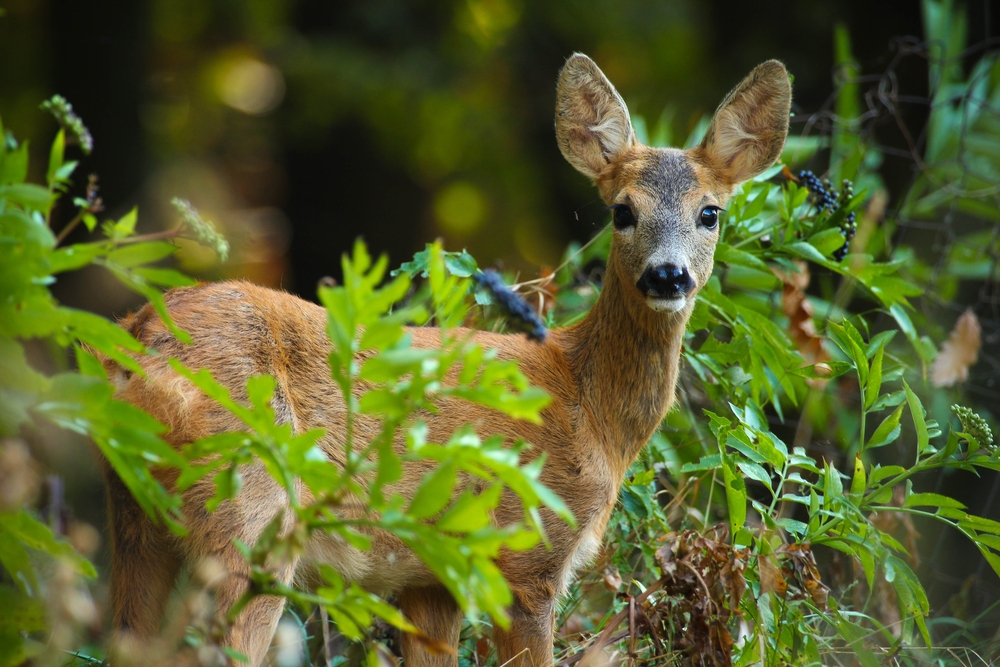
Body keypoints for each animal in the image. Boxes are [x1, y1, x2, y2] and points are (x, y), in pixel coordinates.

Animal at [101, 53, 788, 667]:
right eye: (622, 211)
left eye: (710, 212)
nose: (667, 275)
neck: (589, 409)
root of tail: (139, 347)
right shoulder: (526, 552)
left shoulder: (433, 576)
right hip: (252, 511)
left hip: (135, 518)